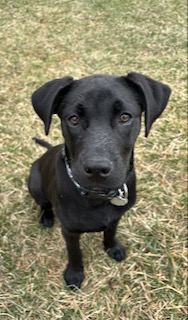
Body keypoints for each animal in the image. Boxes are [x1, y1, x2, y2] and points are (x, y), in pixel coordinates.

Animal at [27, 72, 170, 288]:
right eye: (74, 119)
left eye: (125, 117)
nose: (96, 169)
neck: (98, 196)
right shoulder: (69, 230)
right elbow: (74, 252)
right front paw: (74, 274)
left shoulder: (116, 218)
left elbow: (110, 232)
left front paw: (112, 248)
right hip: (34, 181)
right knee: (44, 203)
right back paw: (46, 217)